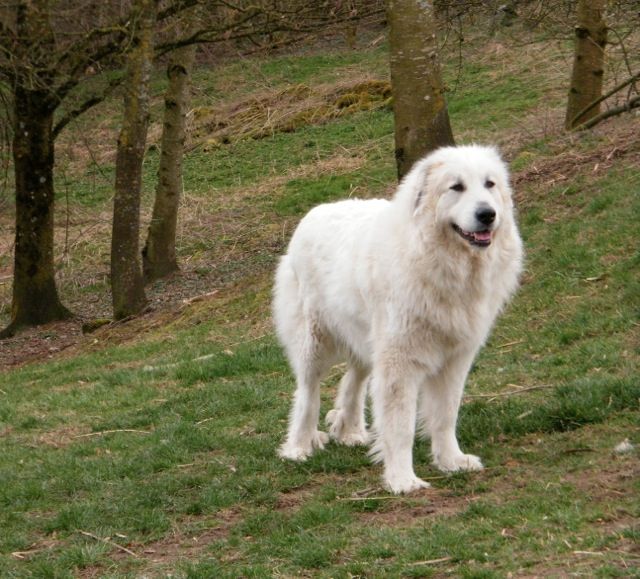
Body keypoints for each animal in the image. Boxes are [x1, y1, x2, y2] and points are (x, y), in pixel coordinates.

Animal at [272, 145, 524, 494]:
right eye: (456, 187)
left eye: (490, 184)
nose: (487, 214)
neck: (441, 261)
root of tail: (314, 212)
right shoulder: (399, 362)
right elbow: (400, 425)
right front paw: (402, 479)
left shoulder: (455, 359)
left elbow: (446, 415)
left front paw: (451, 461)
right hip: (315, 341)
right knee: (307, 394)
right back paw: (298, 447)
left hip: (366, 339)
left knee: (353, 380)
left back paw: (349, 430)